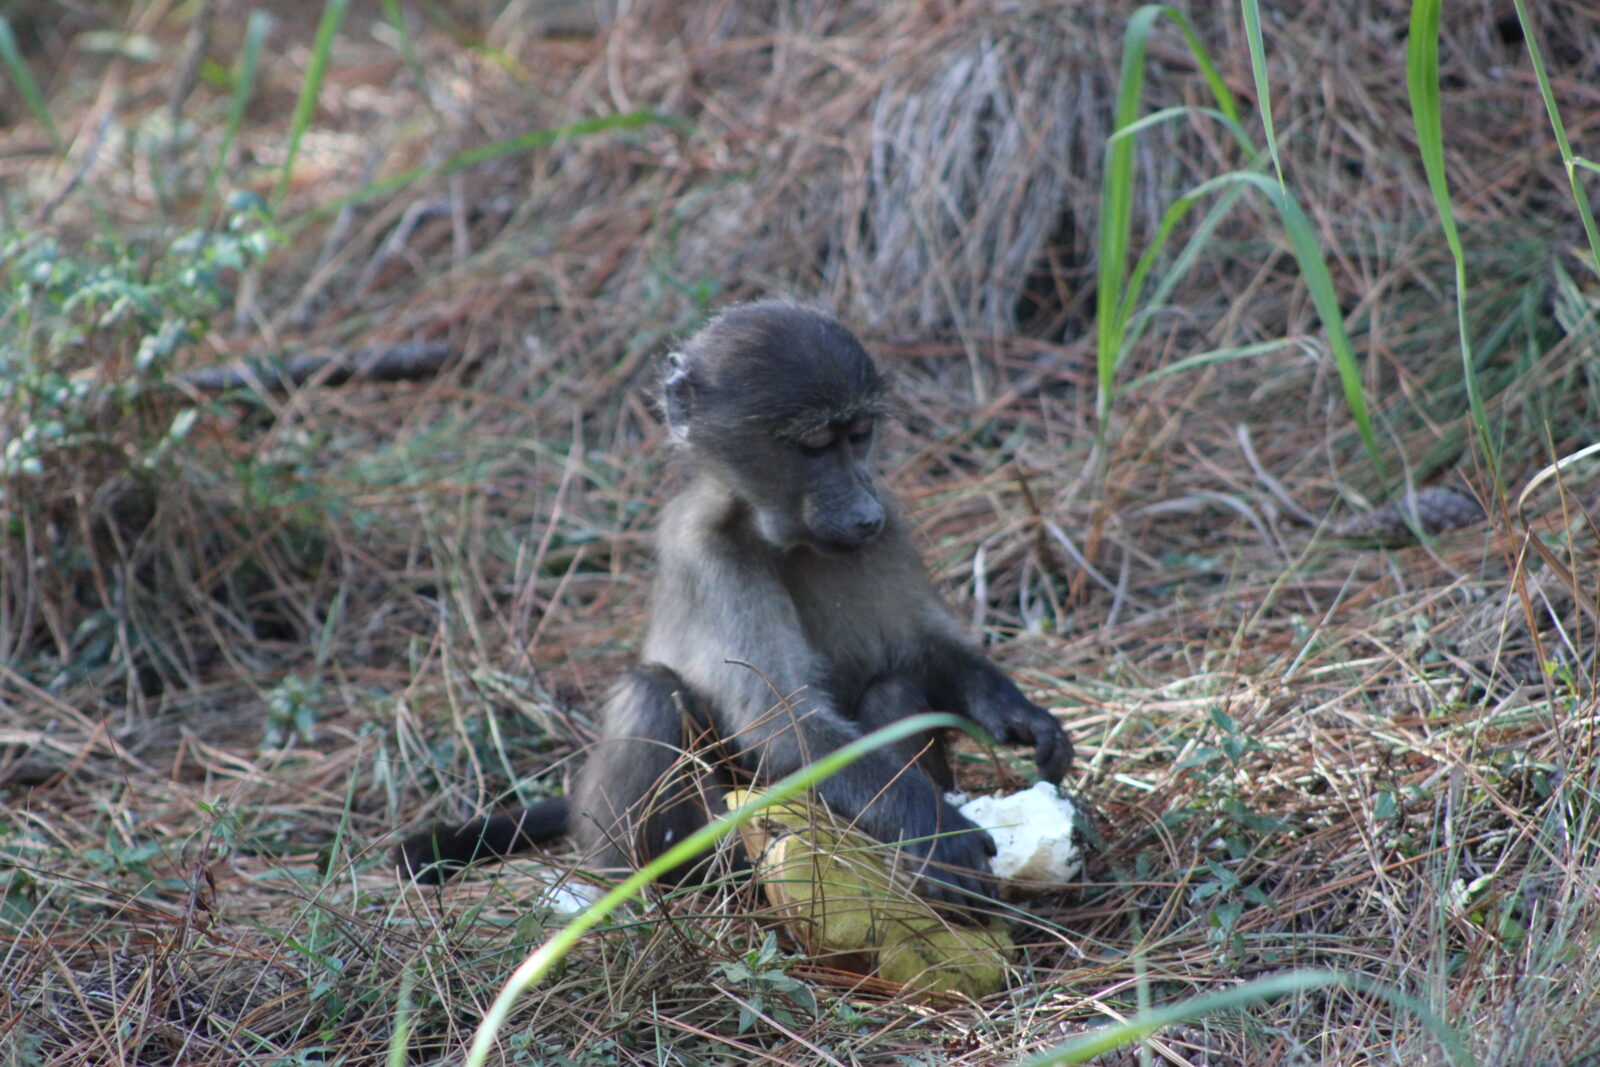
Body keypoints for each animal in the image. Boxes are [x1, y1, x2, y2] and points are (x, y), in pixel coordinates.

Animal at [396, 302, 1072, 909]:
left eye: (860, 435)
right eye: (816, 444)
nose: (863, 511)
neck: (779, 535)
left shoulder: (890, 528)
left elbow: (924, 651)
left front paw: (1016, 713)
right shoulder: (708, 554)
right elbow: (784, 726)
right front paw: (938, 833)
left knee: (893, 688)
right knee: (652, 694)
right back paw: (649, 891)